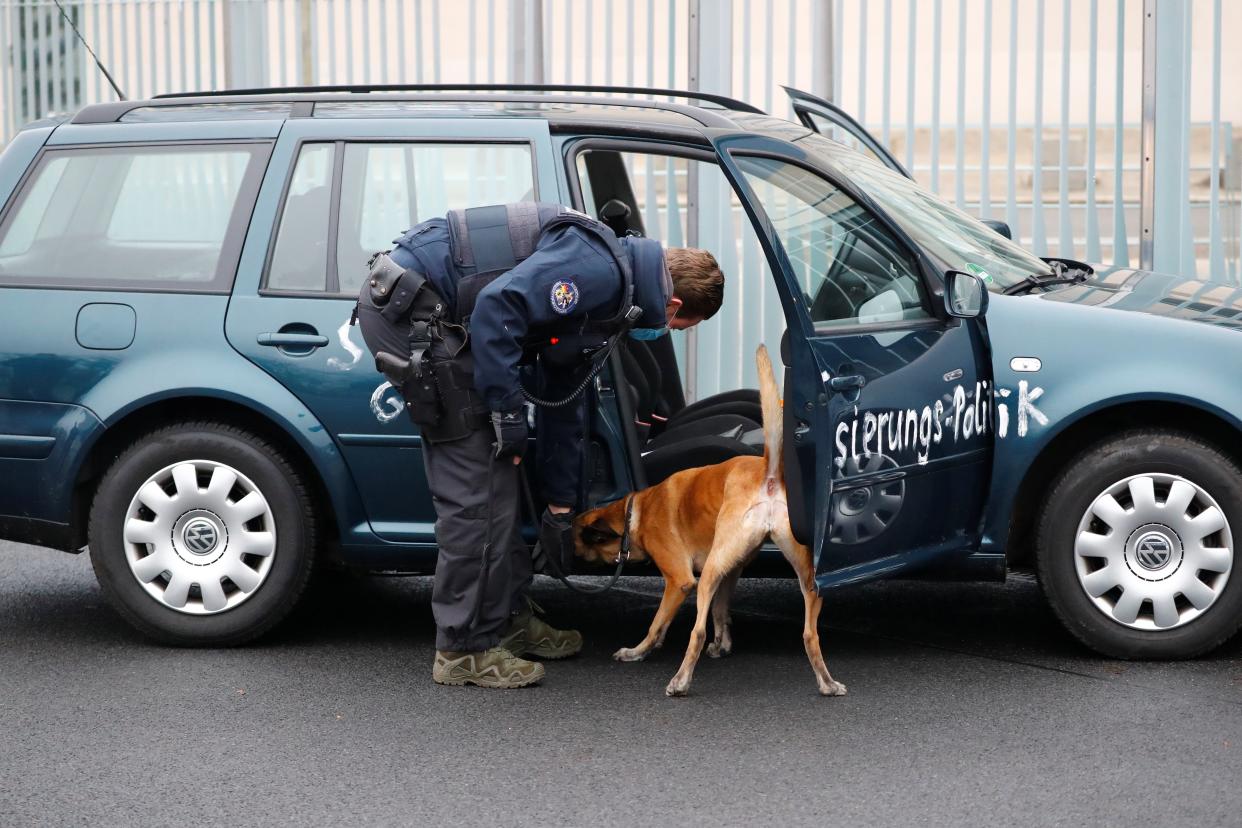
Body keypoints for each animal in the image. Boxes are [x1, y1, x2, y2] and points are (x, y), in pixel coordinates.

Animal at [573, 342, 849, 700]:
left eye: (580, 539)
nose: (568, 552)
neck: (637, 509)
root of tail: (768, 471)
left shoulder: (680, 581)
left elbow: (658, 623)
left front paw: (638, 651)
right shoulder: (731, 571)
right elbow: (720, 611)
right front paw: (723, 644)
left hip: (706, 577)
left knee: (696, 633)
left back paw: (680, 681)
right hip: (804, 578)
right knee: (810, 635)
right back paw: (827, 683)